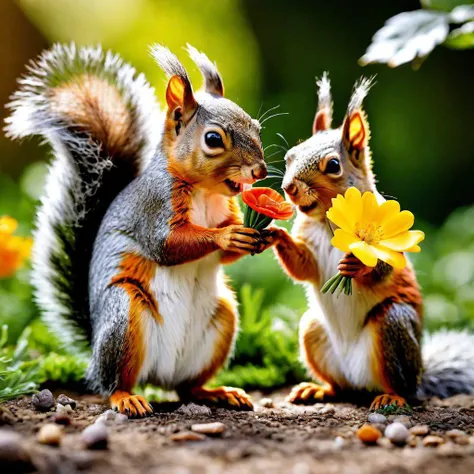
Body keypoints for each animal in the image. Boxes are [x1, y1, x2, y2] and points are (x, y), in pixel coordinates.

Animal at [6, 43, 266, 414]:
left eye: (256, 127)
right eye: (214, 139)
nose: (260, 170)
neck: (204, 191)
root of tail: (159, 375)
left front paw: (260, 238)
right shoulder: (154, 206)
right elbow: (167, 245)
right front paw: (226, 236)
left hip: (223, 319)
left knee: (187, 387)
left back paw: (216, 392)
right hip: (124, 317)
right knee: (113, 382)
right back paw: (126, 398)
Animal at [262, 76, 474, 410]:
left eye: (333, 165)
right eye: (289, 156)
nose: (289, 188)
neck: (327, 222)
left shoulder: (390, 244)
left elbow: (383, 267)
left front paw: (357, 265)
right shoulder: (309, 246)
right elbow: (302, 267)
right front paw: (275, 233)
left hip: (392, 326)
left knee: (403, 387)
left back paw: (392, 396)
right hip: (312, 330)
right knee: (340, 386)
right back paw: (320, 389)